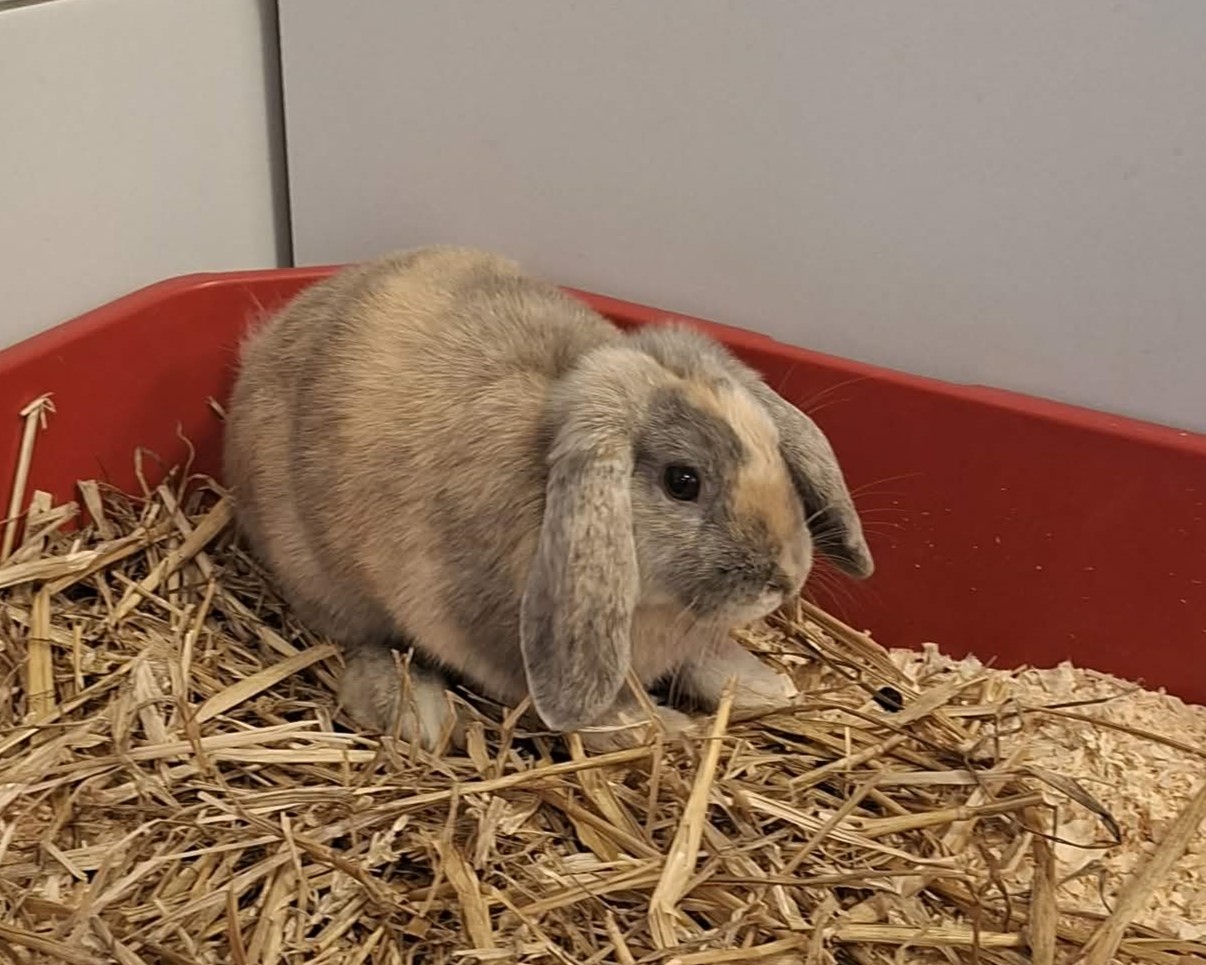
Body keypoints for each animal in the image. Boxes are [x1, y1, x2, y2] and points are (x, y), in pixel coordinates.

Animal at [222, 245, 874, 751]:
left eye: (772, 447)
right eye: (682, 481)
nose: (784, 579)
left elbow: (705, 657)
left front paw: (767, 687)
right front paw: (664, 729)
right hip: (321, 579)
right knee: (365, 642)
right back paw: (422, 713)